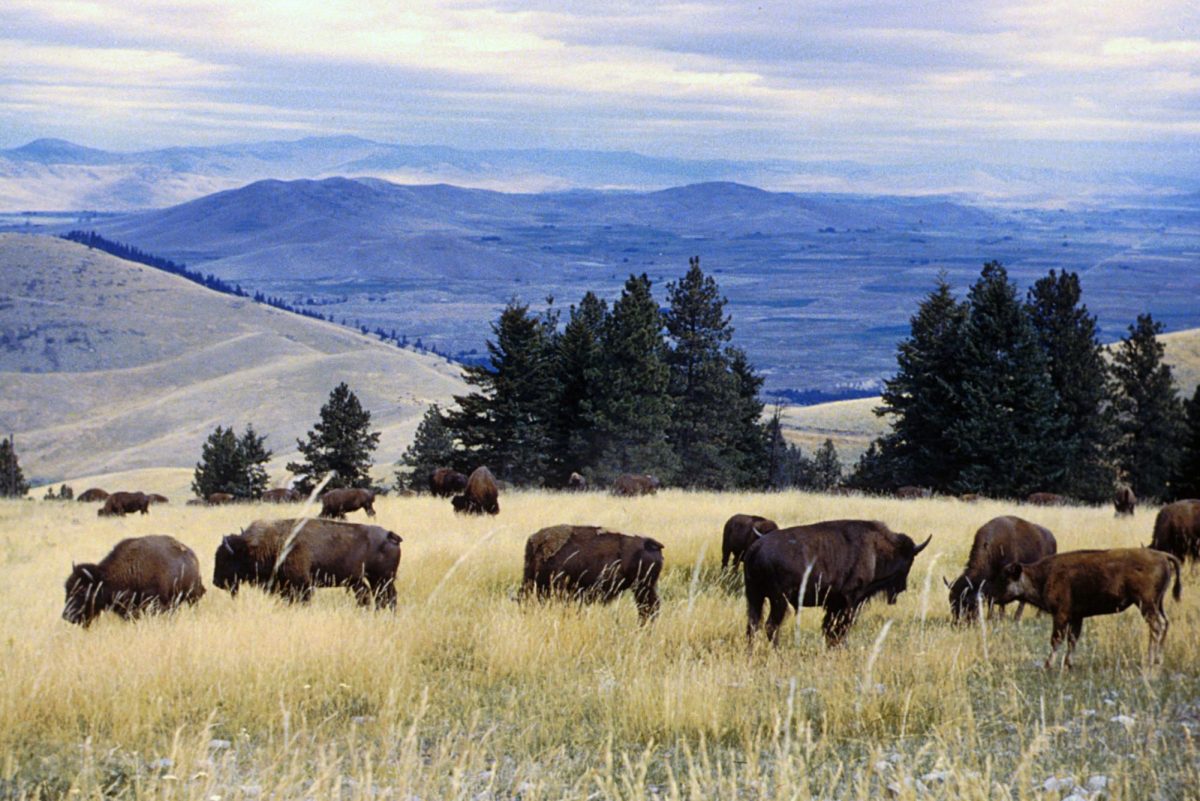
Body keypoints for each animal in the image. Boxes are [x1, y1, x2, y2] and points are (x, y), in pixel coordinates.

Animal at [212, 520, 403, 606]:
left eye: (225, 558)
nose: (216, 582)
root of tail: (389, 535)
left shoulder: (302, 585)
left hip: (382, 579)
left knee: (387, 597)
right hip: (369, 581)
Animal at [744, 522, 931, 647]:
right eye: (909, 561)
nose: (902, 587)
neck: (876, 550)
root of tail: (756, 548)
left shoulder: (834, 604)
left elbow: (829, 628)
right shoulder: (850, 600)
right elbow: (840, 628)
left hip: (754, 597)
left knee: (753, 625)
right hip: (778, 600)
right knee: (770, 626)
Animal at [993, 544, 1180, 671]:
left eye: (1005, 578)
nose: (994, 598)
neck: (1044, 575)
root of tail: (1162, 555)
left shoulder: (1061, 616)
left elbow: (1056, 639)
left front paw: (1048, 665)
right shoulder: (1077, 617)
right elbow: (1072, 640)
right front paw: (1068, 665)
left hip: (1146, 604)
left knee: (1157, 627)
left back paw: (1151, 661)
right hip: (1158, 604)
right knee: (1165, 623)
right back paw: (1157, 660)